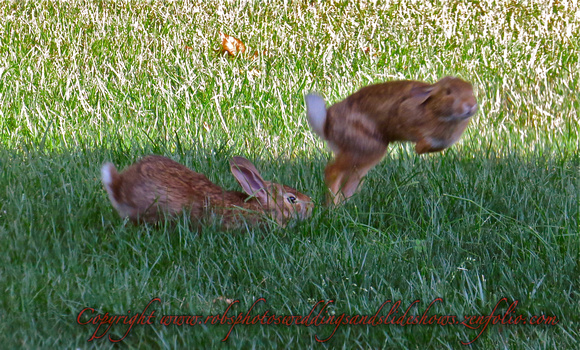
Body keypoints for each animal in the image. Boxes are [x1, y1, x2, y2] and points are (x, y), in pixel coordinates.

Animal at [306, 74, 478, 205]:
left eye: (471, 91)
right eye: (448, 92)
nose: (470, 105)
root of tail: (327, 125)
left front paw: (420, 149)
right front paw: (419, 148)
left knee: (350, 182)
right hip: (366, 148)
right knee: (332, 171)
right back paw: (333, 207)